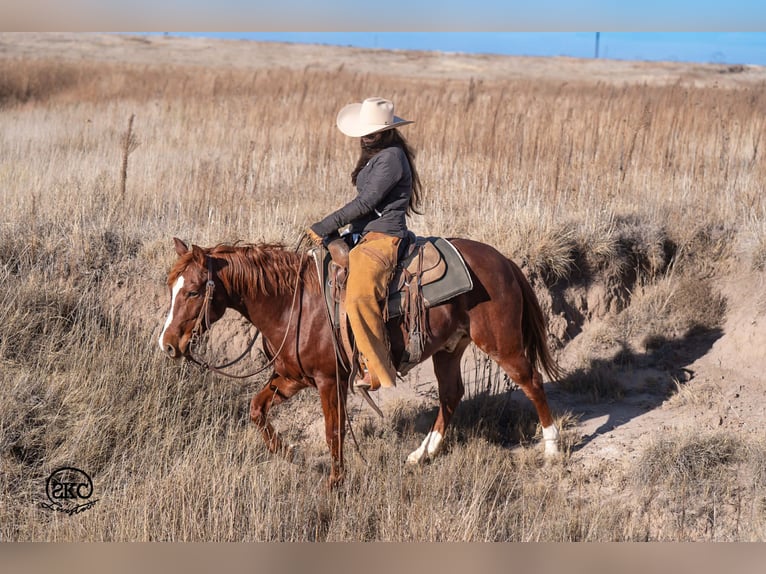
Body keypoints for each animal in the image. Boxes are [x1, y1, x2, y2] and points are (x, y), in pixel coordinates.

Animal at [158, 236, 562, 487]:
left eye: (192, 291)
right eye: (170, 287)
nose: (168, 345)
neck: (293, 304)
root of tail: (504, 261)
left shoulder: (329, 381)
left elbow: (333, 431)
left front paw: (334, 484)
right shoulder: (290, 377)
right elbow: (258, 410)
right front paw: (292, 455)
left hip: (502, 344)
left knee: (532, 382)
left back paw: (553, 449)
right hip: (449, 349)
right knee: (451, 394)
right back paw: (422, 454)